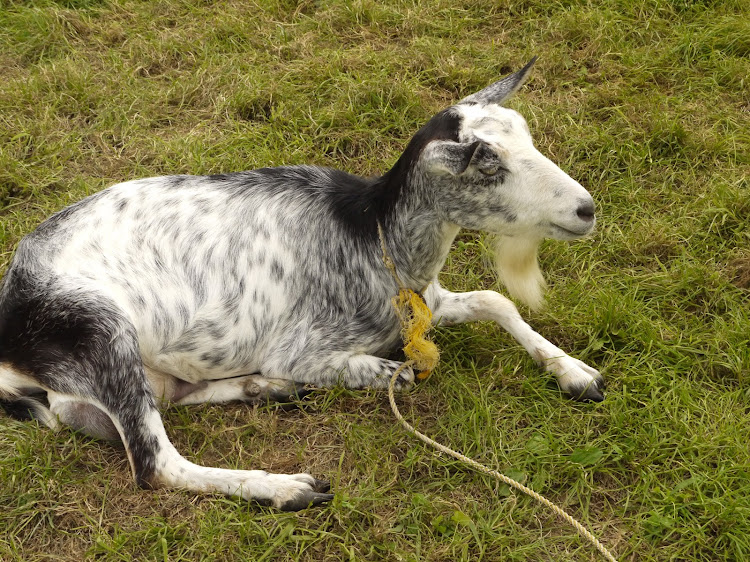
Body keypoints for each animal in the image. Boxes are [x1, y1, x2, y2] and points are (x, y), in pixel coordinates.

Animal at [0, 59, 604, 510]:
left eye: (526, 137)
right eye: (488, 166)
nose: (586, 209)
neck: (369, 231)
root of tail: (11, 336)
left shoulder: (424, 300)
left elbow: (495, 301)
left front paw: (576, 374)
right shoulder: (305, 348)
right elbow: (407, 375)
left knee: (156, 401)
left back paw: (266, 389)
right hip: (101, 329)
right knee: (154, 464)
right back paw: (285, 486)